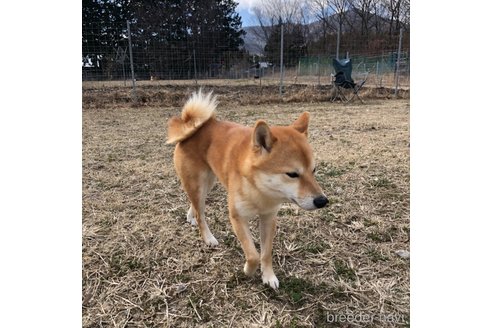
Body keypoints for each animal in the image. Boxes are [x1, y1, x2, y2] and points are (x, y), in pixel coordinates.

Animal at [167, 89, 328, 290]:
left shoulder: (268, 218)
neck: (260, 189)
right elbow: (253, 255)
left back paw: (191, 216)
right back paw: (208, 237)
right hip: (199, 183)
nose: (322, 201)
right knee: (200, 211)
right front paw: (248, 270)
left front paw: (268, 276)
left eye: (314, 170)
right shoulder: (238, 218)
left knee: (196, 205)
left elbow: (265, 253)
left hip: (209, 182)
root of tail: (191, 126)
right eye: (292, 174)